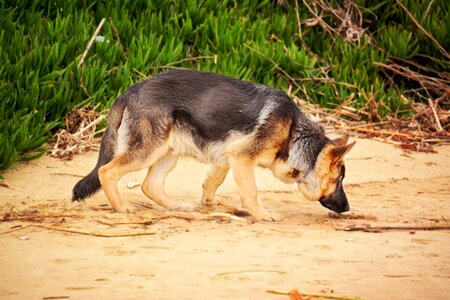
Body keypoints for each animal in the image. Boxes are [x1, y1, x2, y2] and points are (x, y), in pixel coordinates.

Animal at [73, 69, 356, 220]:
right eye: (339, 180)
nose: (347, 208)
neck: (293, 134)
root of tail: (130, 90)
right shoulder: (242, 157)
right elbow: (251, 191)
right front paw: (261, 214)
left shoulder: (228, 156)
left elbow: (213, 181)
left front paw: (209, 204)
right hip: (146, 152)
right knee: (106, 171)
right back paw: (121, 208)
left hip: (168, 152)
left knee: (149, 185)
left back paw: (177, 206)